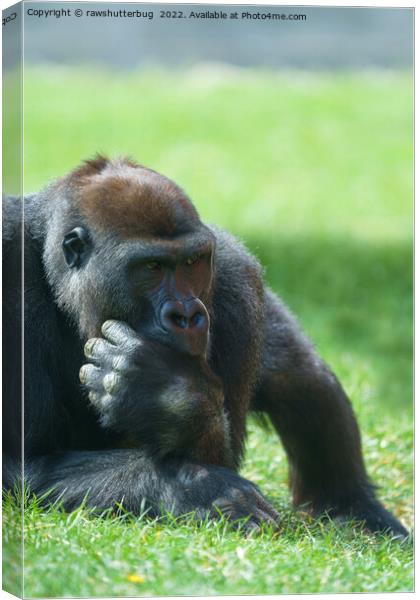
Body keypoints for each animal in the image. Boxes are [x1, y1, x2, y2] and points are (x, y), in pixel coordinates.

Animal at [1, 157, 408, 536]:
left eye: (192, 262)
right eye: (151, 267)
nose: (187, 315)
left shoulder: (234, 277)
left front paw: (172, 399)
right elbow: (22, 464)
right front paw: (193, 488)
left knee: (301, 375)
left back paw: (353, 507)